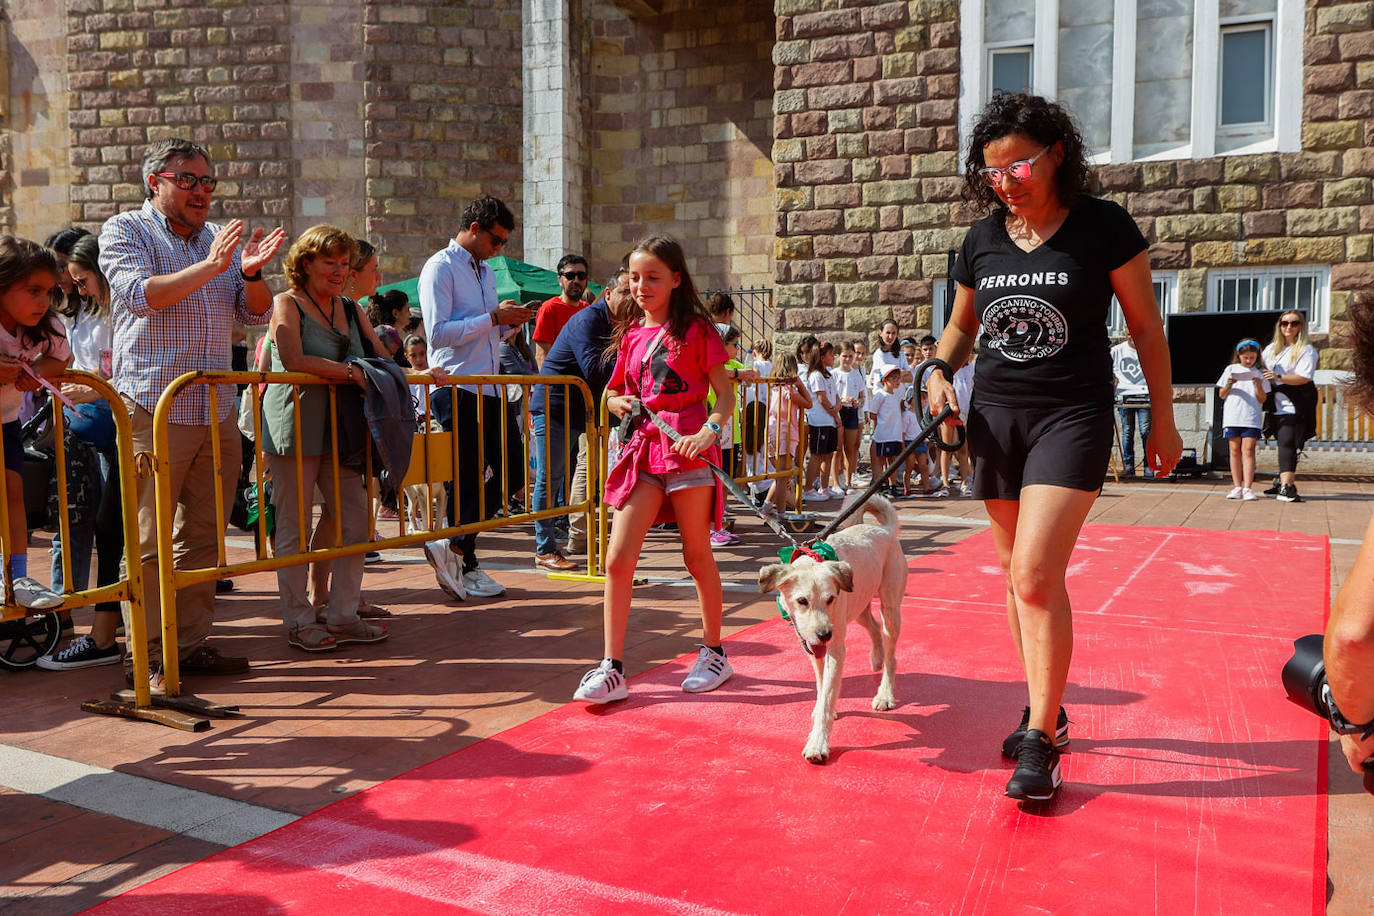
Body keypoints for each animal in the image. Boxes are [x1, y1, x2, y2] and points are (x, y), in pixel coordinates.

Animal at [758, 494, 906, 769]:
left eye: (830, 598)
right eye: (802, 601)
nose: (825, 634)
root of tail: (885, 530)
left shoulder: (836, 649)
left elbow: (828, 694)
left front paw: (818, 743)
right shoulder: (814, 647)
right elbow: (821, 684)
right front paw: (820, 708)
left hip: (891, 608)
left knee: (891, 654)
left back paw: (885, 694)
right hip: (859, 608)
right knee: (873, 628)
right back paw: (876, 658)